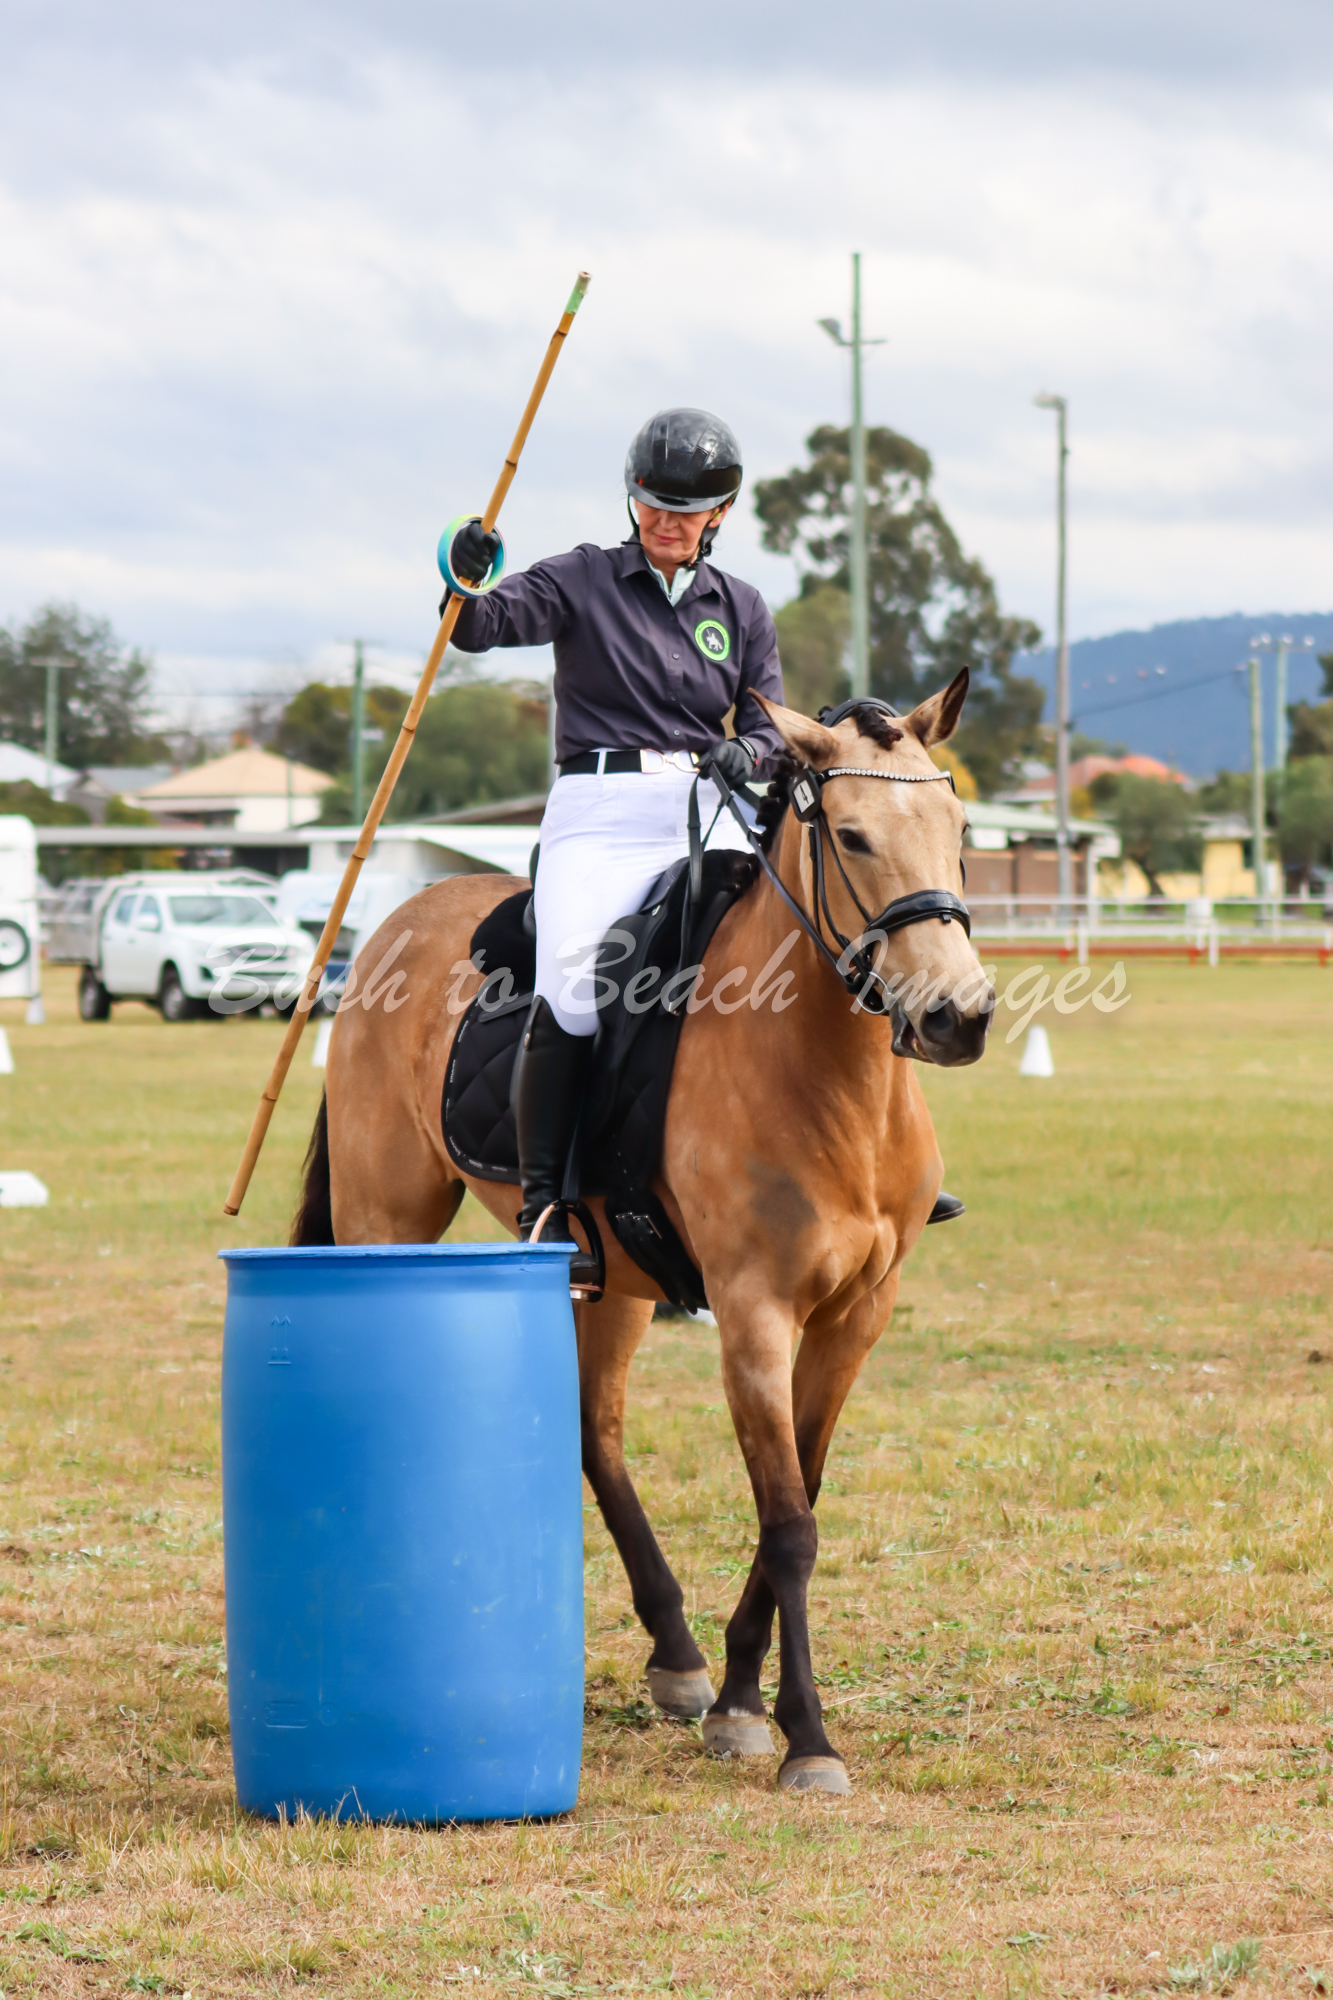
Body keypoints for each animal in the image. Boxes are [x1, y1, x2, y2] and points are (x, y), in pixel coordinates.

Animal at [292, 672, 993, 1795]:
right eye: (850, 834)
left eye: (956, 828)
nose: (956, 1018)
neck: (825, 1079)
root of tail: (396, 924)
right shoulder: (752, 1313)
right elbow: (789, 1522)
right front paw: (804, 1735)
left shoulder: (856, 1316)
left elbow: (798, 1496)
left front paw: (742, 1695)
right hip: (383, 1215)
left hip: (609, 1278)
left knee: (595, 1429)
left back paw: (676, 1653)